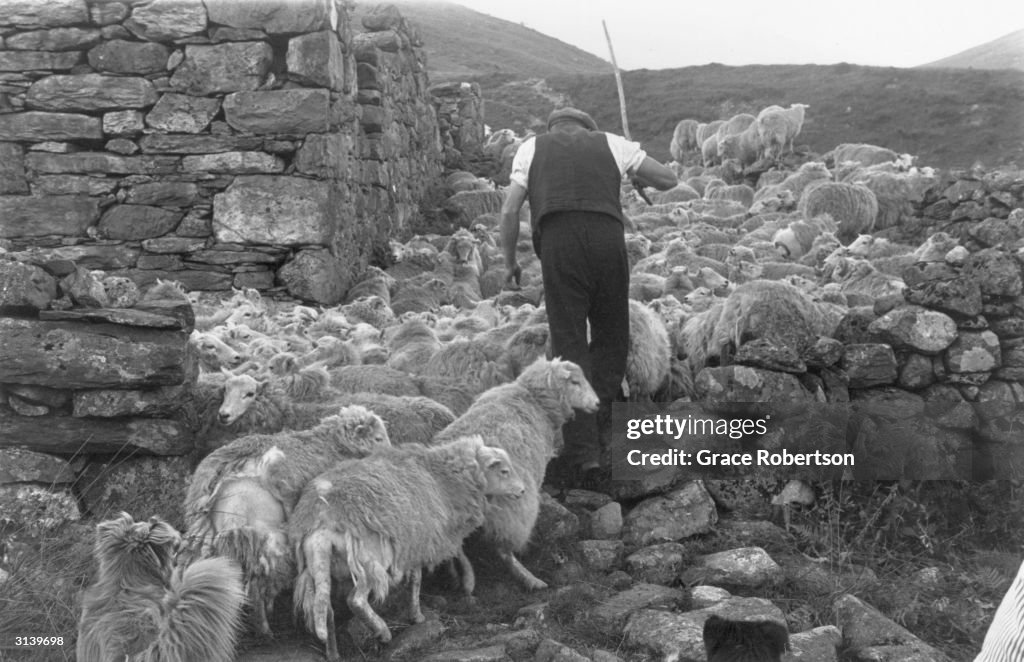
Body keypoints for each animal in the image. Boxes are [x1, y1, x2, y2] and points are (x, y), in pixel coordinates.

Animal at [182, 407, 389, 635]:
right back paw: (265, 628)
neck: (331, 444)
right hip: (266, 535)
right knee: (259, 581)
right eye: (378, 438)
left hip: (207, 535)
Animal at [290, 436, 524, 659]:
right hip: (369, 559)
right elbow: (416, 580)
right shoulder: (418, 543)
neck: (444, 478)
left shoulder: (414, 544)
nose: (522, 490)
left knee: (325, 609)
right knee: (355, 600)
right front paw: (417, 616)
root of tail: (322, 521)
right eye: (504, 471)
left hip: (319, 566)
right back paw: (383, 632)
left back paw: (333, 652)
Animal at [434, 360, 598, 594]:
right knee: (504, 550)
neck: (534, 399)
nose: (597, 403)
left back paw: (459, 577)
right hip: (511, 509)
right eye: (575, 382)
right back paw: (529, 578)